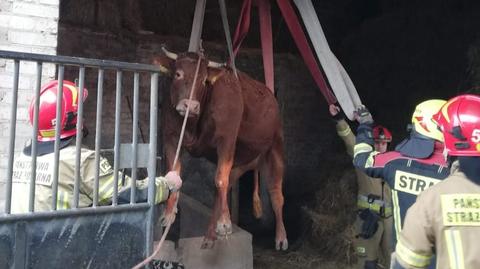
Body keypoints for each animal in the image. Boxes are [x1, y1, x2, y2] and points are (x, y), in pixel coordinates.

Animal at [156, 47, 286, 249]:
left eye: (204, 80)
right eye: (178, 74)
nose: (190, 106)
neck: (193, 125)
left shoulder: (227, 140)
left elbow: (220, 180)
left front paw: (225, 223)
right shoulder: (170, 137)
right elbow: (174, 172)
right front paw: (168, 213)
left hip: (275, 150)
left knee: (276, 194)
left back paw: (280, 237)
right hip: (238, 164)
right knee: (221, 190)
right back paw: (210, 236)